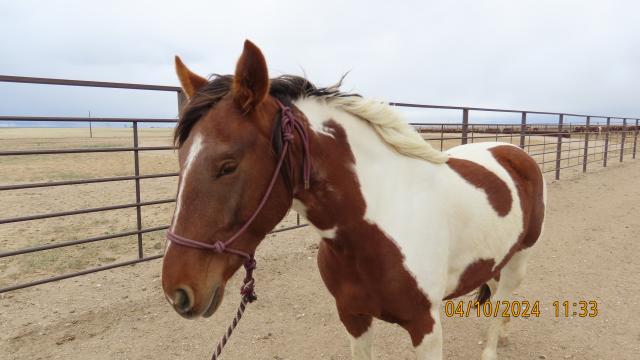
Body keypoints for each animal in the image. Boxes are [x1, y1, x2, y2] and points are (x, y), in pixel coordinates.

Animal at [160, 40, 544, 360]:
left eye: (228, 165)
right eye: (181, 159)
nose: (177, 292)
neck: (379, 227)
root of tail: (512, 151)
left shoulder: (426, 328)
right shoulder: (353, 316)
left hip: (521, 258)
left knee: (503, 300)